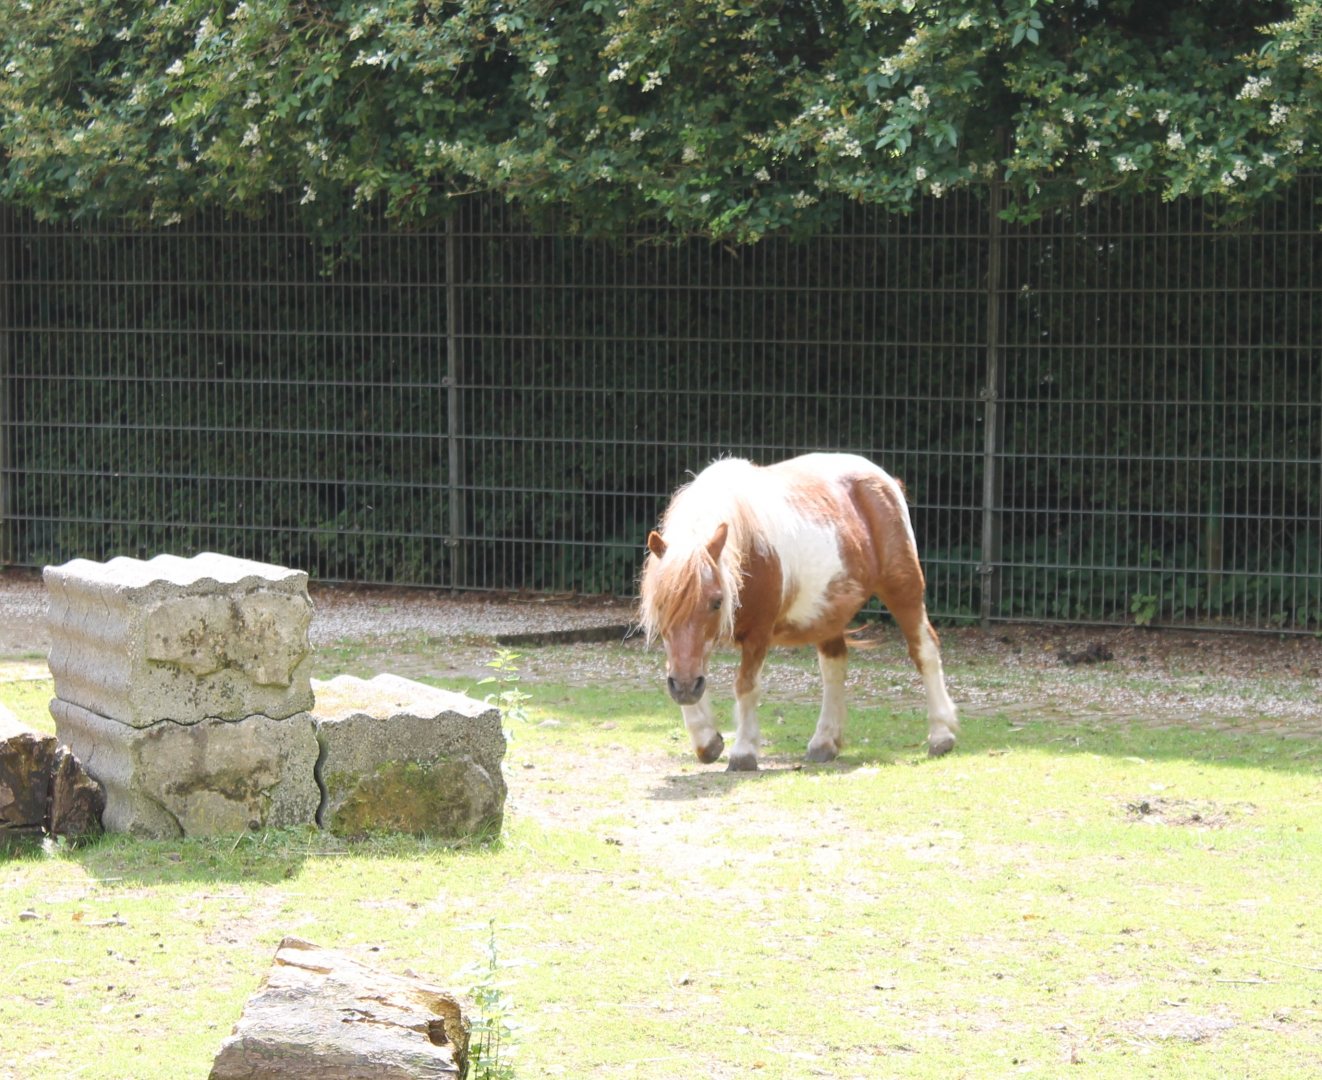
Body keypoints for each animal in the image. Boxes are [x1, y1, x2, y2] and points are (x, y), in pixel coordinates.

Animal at [638, 453, 958, 771]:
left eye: (717, 602)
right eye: (661, 604)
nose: (684, 688)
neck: (749, 546)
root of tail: (885, 480)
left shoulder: (758, 634)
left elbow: (745, 686)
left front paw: (743, 752)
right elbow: (683, 668)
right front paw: (707, 741)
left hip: (903, 588)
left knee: (925, 650)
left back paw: (941, 735)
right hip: (828, 614)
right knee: (834, 666)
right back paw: (824, 742)